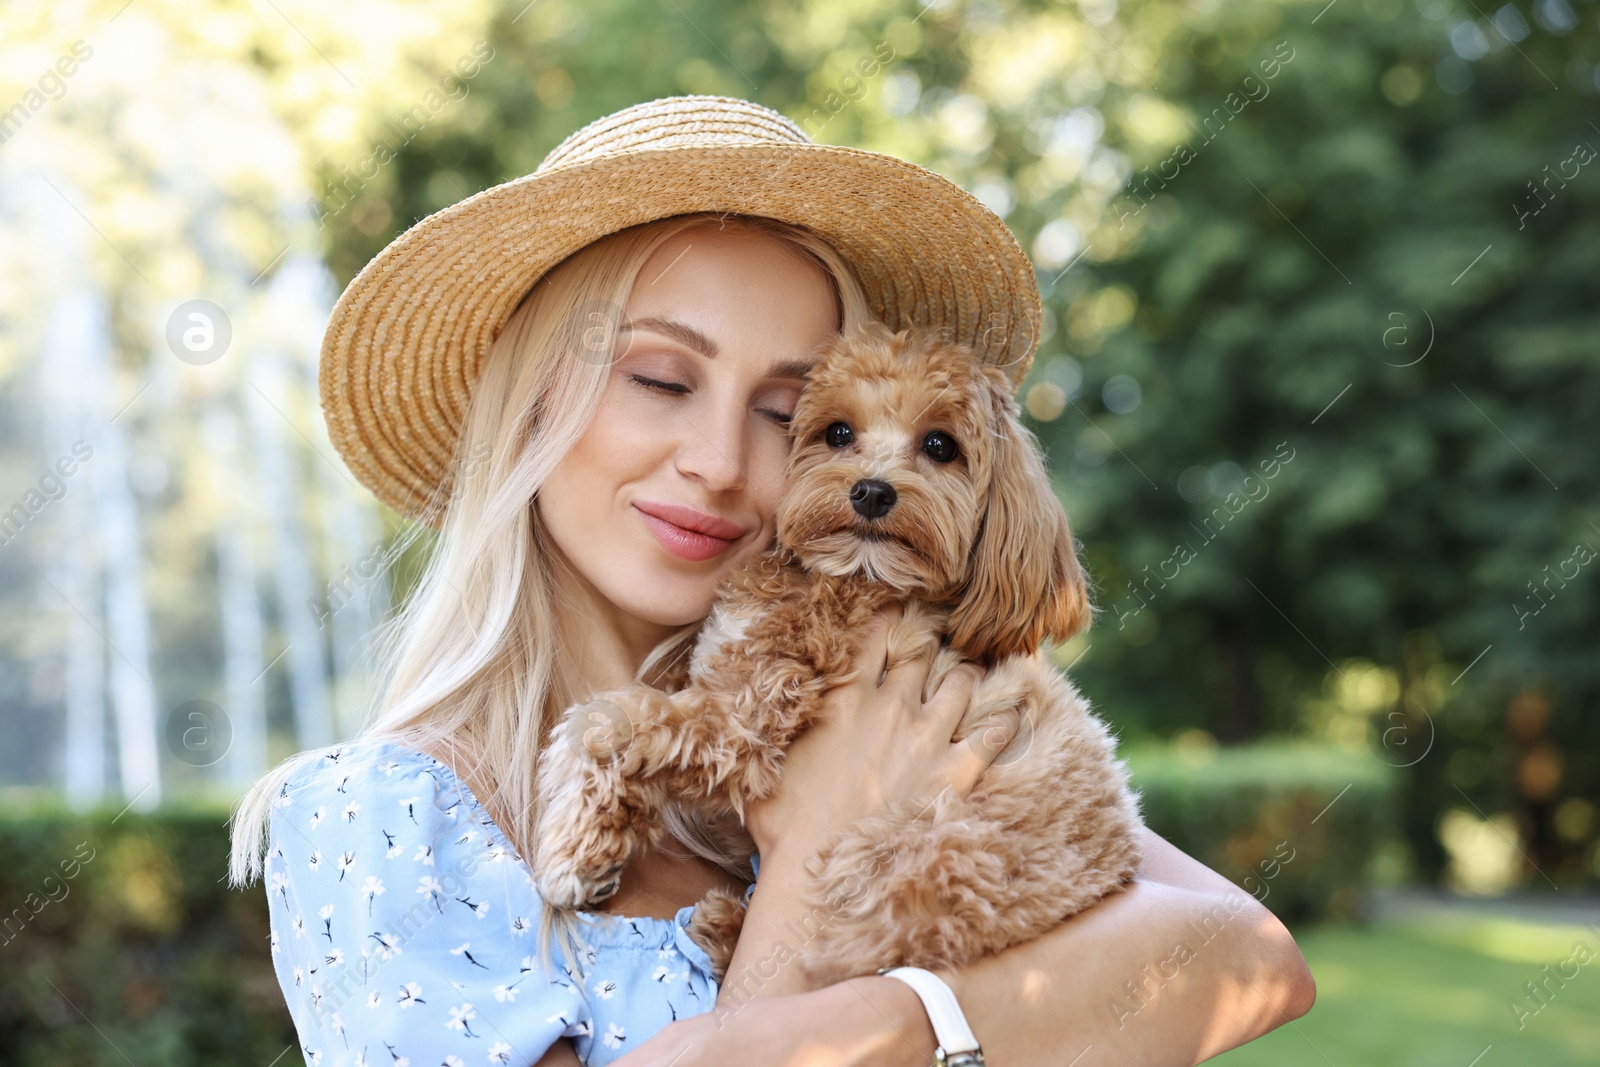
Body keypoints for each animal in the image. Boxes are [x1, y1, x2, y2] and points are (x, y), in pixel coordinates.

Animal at [534, 321, 1139, 991]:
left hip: (906, 862)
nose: (872, 491)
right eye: (839, 433)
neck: (854, 579)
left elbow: (607, 721)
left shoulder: (747, 717)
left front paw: (569, 851)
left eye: (940, 445)